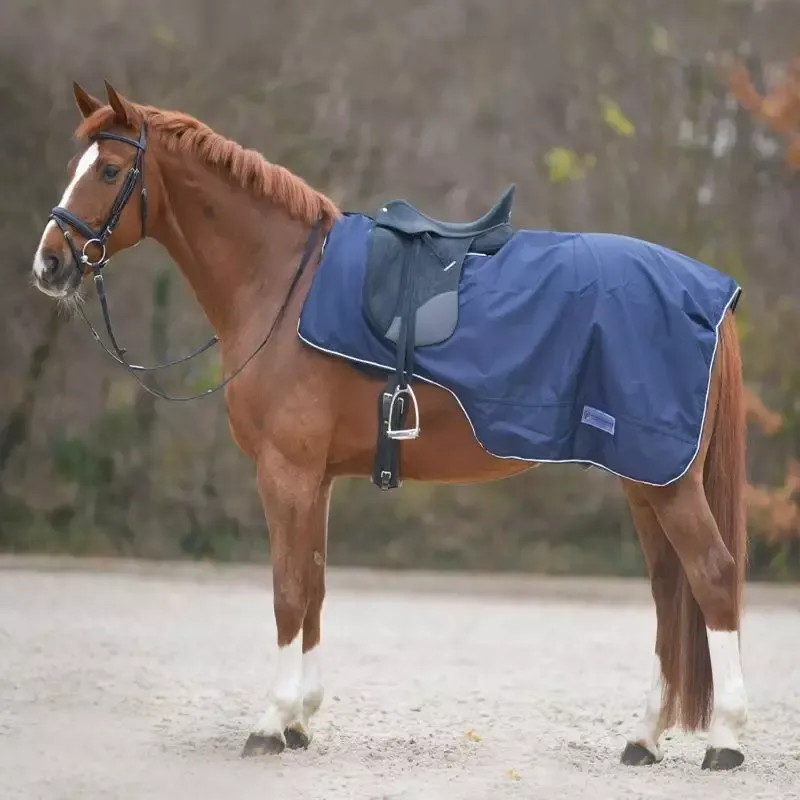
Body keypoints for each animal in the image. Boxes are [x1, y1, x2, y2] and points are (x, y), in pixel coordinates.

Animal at [31, 80, 749, 771]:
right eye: (73, 167)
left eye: (110, 169)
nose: (49, 264)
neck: (282, 285)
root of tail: (709, 295)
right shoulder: (316, 479)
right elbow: (315, 588)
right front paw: (300, 721)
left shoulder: (285, 472)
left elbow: (288, 592)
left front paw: (270, 722)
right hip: (642, 478)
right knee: (669, 590)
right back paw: (645, 737)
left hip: (664, 482)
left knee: (712, 576)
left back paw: (725, 741)